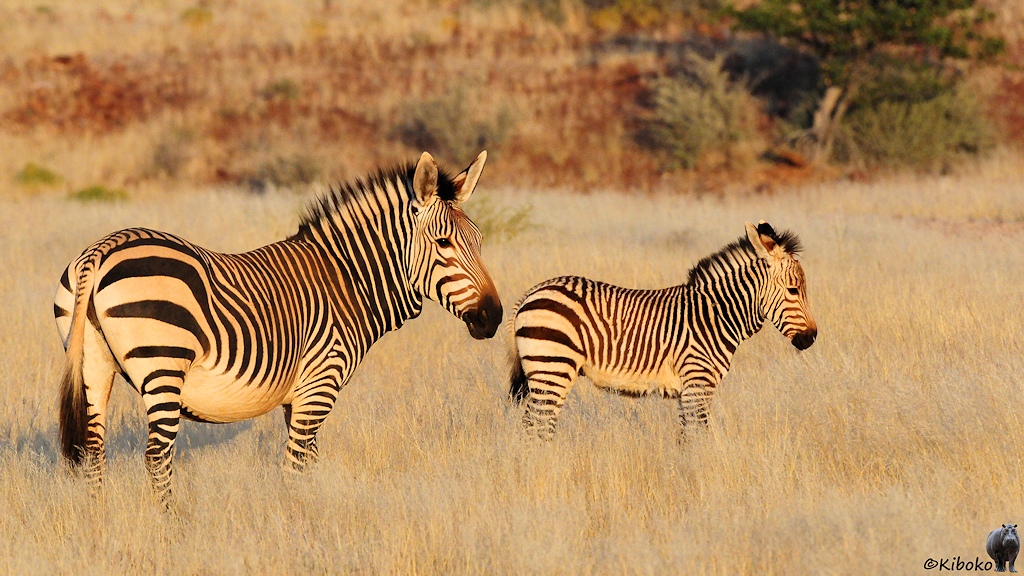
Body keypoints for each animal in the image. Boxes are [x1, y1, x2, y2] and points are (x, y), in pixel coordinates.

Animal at [54, 151, 502, 503]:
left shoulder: (298, 396)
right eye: (443, 243)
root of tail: (102, 248)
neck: (348, 281)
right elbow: (295, 468)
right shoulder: (319, 385)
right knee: (157, 456)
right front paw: (295, 525)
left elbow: (310, 463)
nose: (494, 316)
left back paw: (100, 527)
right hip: (164, 365)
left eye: (479, 240)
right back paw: (170, 527)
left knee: (95, 453)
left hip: (94, 365)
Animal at [508, 221, 816, 440]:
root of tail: (531, 293)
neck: (715, 315)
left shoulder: (687, 392)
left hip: (544, 371)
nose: (811, 338)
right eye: (793, 290)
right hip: (553, 367)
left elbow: (685, 439)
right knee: (538, 429)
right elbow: (698, 439)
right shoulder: (697, 385)